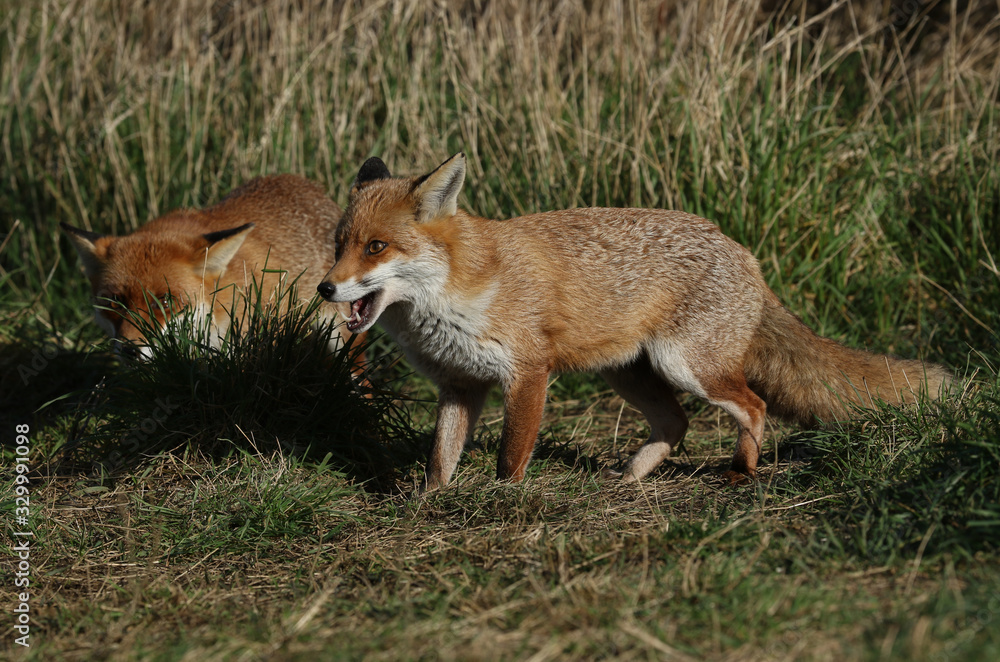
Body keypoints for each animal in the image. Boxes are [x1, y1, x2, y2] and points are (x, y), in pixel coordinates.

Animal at [316, 153, 948, 490]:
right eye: (340, 244)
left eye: (376, 247)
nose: (325, 287)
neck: (455, 295)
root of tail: (744, 253)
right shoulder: (460, 385)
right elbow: (439, 460)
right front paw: (431, 505)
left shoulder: (528, 373)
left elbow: (510, 458)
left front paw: (502, 504)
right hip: (626, 373)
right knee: (676, 423)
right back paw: (631, 478)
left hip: (687, 366)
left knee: (754, 406)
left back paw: (741, 471)